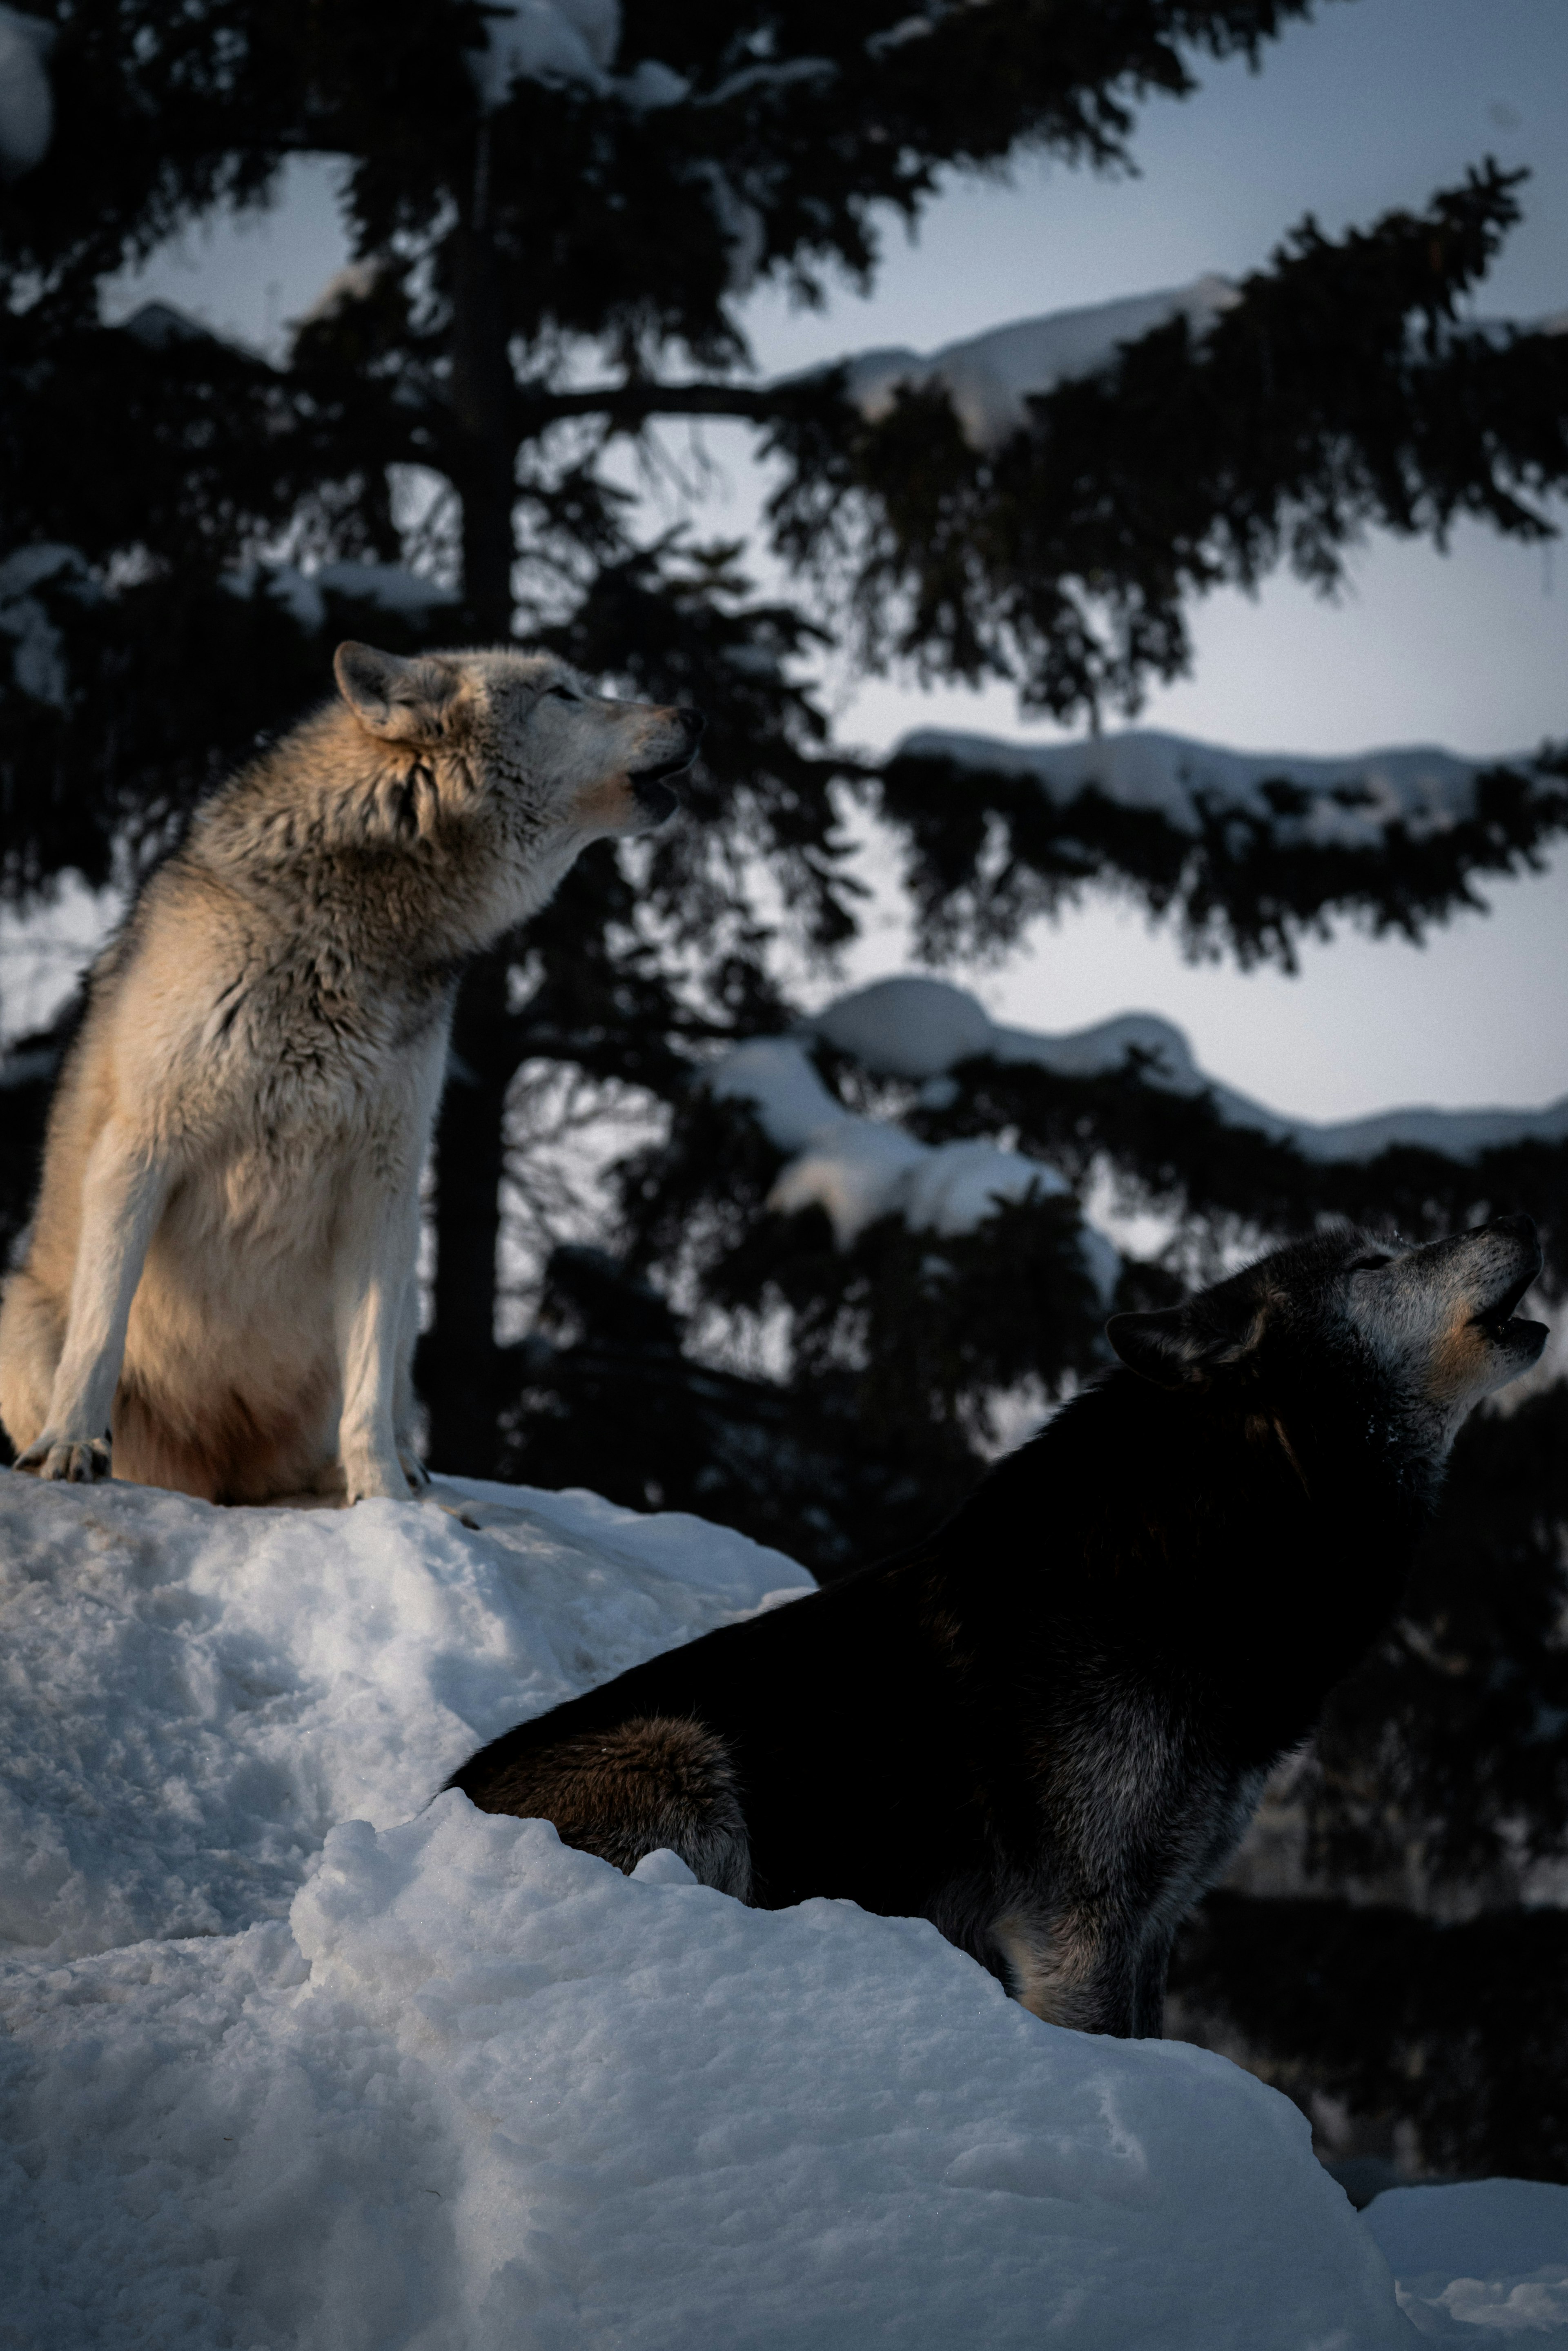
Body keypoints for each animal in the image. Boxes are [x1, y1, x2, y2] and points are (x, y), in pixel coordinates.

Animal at [0, 635, 700, 1495]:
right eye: (564, 694)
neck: (349, 932)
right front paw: (70, 1447)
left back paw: (401, 1484)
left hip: (400, 1304)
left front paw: (387, 1500)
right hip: (19, 1313)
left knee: (384, 1403)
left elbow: (368, 1389)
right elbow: (100, 1334)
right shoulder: (142, 1149)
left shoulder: (384, 1185)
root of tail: (224, 1475)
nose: (693, 713)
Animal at [446, 1222, 1551, 2031]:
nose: (1518, 1219)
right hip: (682, 1758)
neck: (1193, 1556)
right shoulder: (1077, 1930)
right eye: (1374, 1263)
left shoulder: (1156, 1920)